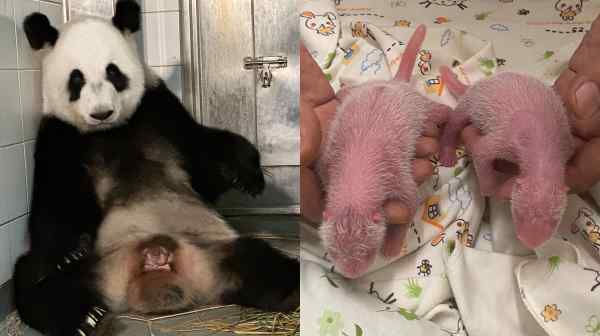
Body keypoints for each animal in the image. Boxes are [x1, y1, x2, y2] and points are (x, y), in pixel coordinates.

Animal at [11, 1, 298, 334]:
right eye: (76, 79)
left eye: (113, 72)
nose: (101, 113)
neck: (112, 131)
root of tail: (155, 263)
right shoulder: (59, 134)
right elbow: (55, 199)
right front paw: (70, 250)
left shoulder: (160, 110)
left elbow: (204, 158)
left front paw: (247, 176)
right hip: (99, 264)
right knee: (34, 275)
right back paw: (83, 316)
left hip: (216, 248)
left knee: (262, 261)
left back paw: (294, 290)